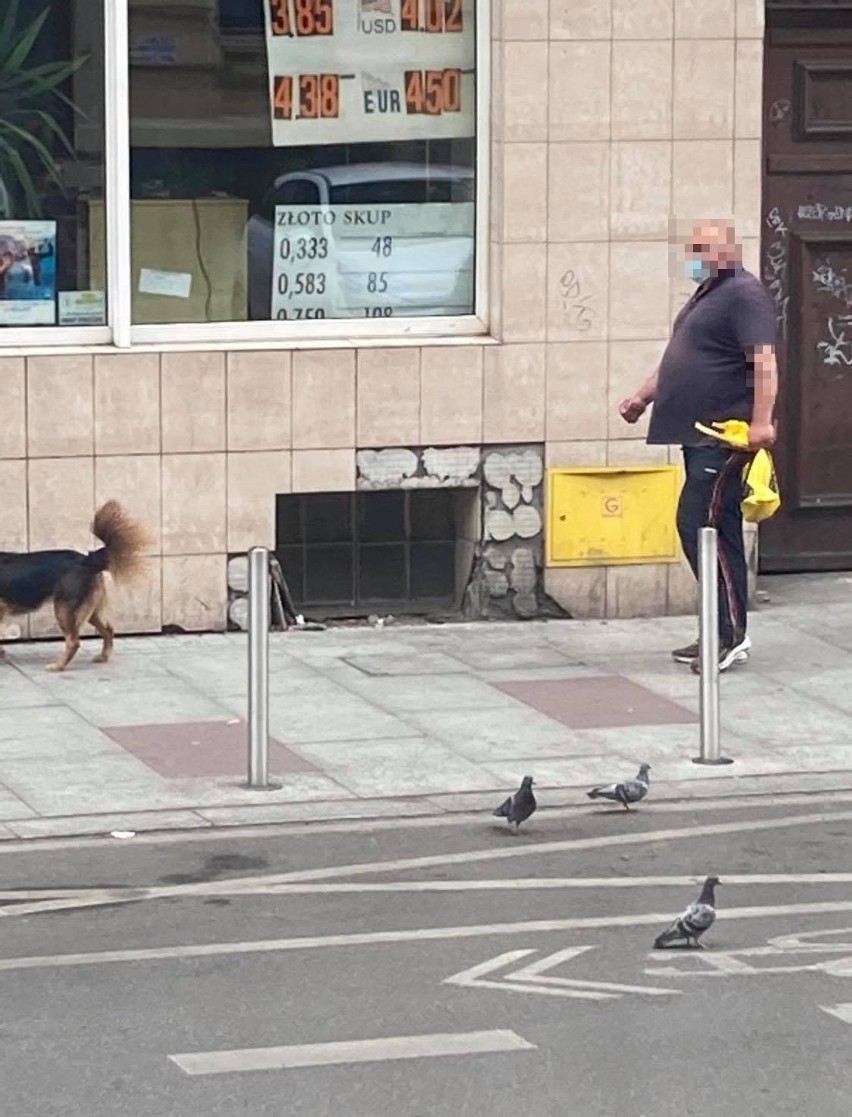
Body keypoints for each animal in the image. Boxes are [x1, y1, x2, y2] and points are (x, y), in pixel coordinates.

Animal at [0, 500, 149, 670]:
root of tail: (87, 560)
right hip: (89, 610)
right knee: (108, 630)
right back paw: (103, 657)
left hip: (64, 609)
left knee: (74, 641)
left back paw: (58, 666)